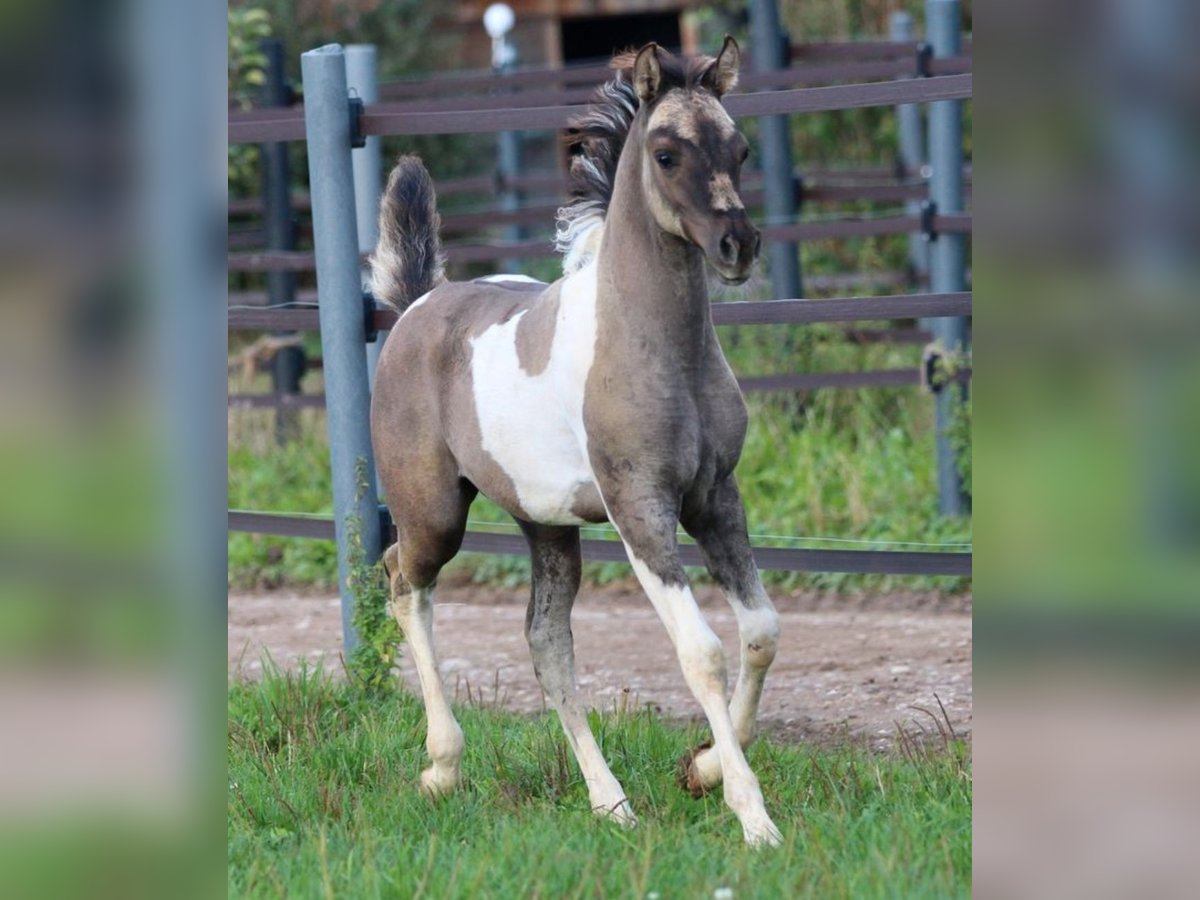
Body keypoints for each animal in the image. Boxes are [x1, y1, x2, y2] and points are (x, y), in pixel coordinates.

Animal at [369, 40, 782, 844]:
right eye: (666, 153)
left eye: (741, 148)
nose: (738, 245)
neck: (656, 347)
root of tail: (414, 307)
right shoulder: (640, 508)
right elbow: (701, 653)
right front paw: (754, 819)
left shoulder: (716, 498)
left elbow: (759, 632)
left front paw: (702, 769)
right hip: (434, 514)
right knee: (403, 579)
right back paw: (442, 767)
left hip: (546, 526)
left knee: (546, 644)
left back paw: (610, 801)